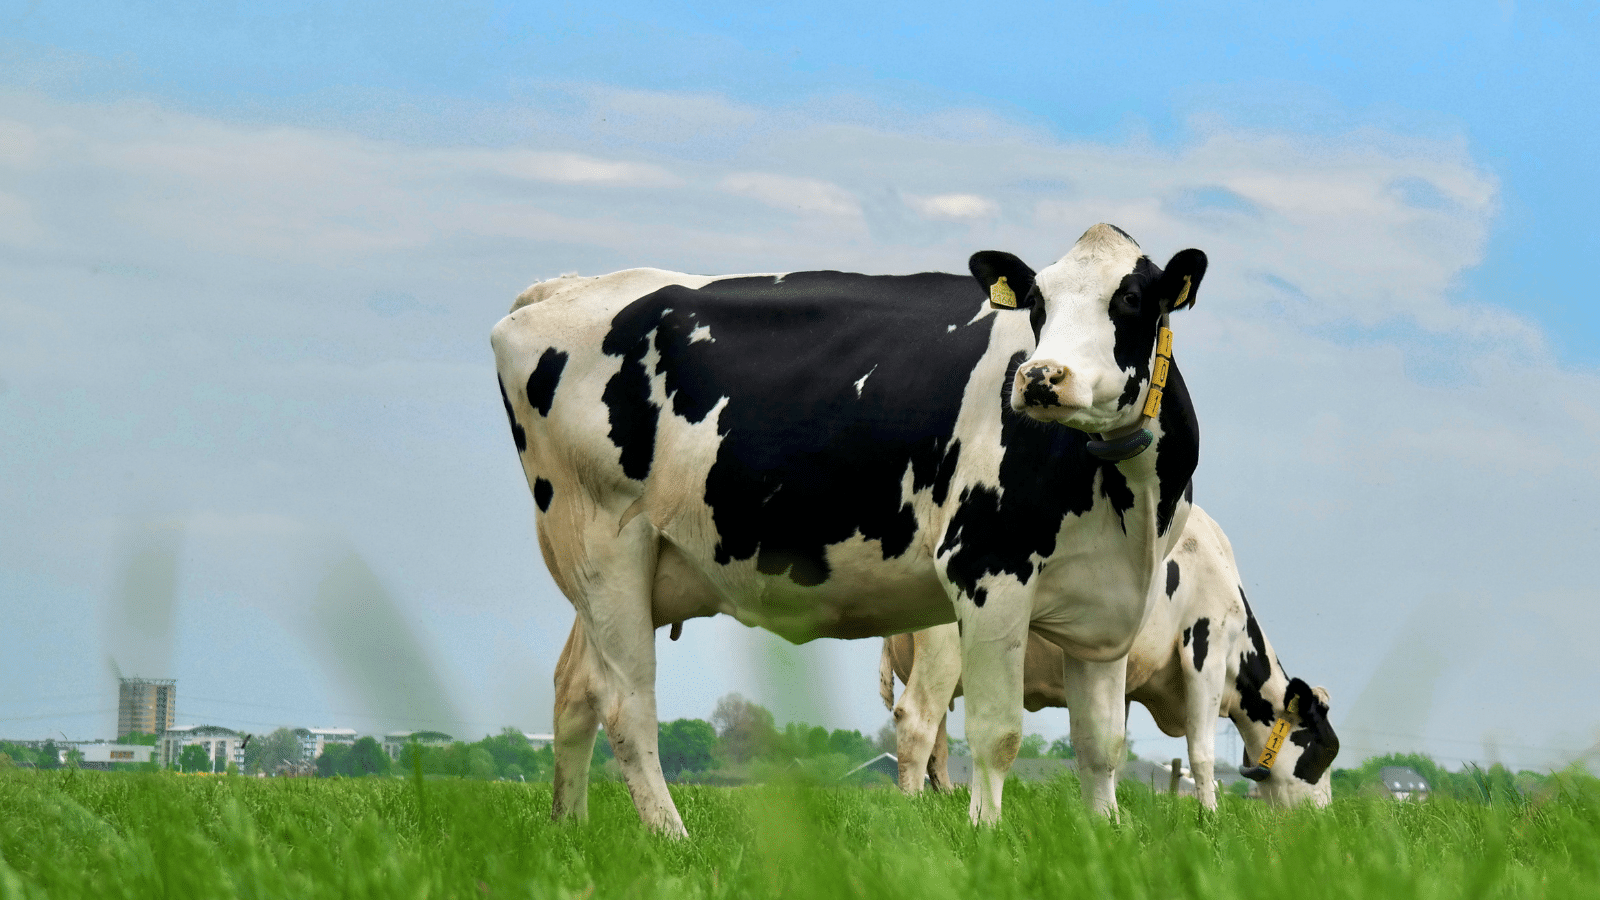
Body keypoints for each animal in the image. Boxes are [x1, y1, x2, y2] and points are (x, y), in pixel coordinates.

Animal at [490, 224, 1208, 835]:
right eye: (1036, 302)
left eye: (1132, 298)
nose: (1040, 377)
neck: (1128, 500)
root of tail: (564, 289)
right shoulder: (986, 567)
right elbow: (997, 732)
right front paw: (986, 836)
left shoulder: (1105, 605)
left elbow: (1102, 745)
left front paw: (1104, 836)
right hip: (602, 543)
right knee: (626, 705)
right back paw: (671, 837)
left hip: (614, 571)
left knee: (576, 690)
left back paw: (570, 827)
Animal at [880, 505, 1339, 808]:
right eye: (1323, 750)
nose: (1324, 818)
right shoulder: (1205, 653)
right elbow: (1202, 753)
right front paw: (1210, 817)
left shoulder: (1129, 680)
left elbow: (1109, 745)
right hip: (944, 652)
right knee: (917, 722)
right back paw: (912, 809)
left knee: (937, 742)